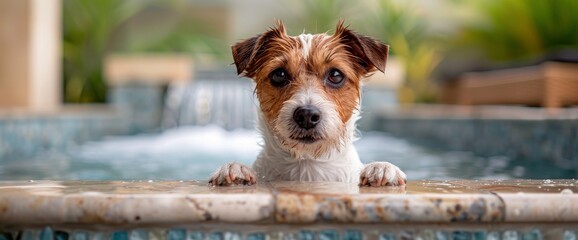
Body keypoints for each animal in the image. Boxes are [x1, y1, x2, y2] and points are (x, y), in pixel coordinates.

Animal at [208, 20, 404, 188]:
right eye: (279, 74)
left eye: (335, 75)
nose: (307, 115)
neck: (308, 165)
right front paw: (235, 170)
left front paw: (381, 168)